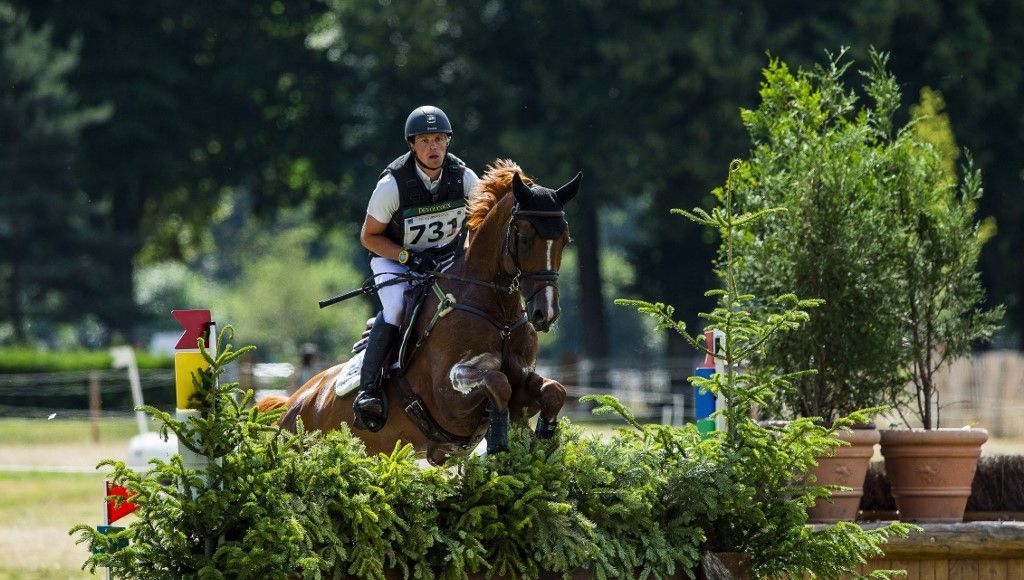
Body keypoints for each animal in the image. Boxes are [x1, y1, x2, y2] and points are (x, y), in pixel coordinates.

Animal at [260, 161, 581, 465]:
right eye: (525, 237)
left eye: (565, 240)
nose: (545, 313)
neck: (497, 312)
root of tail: (291, 403)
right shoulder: (447, 398)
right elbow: (497, 383)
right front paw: (499, 442)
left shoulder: (522, 382)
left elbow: (555, 391)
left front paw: (544, 440)